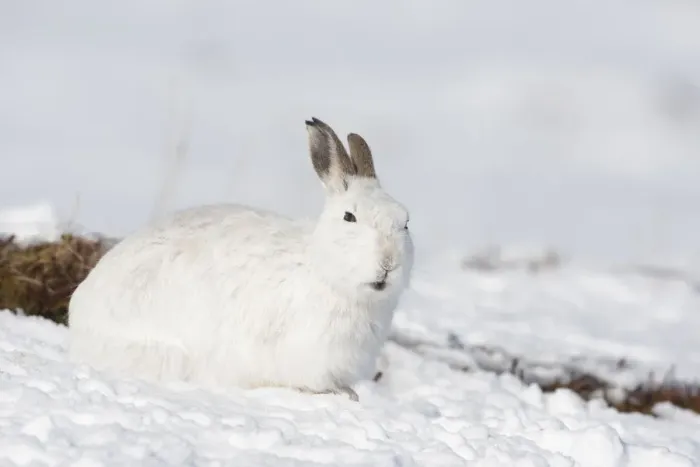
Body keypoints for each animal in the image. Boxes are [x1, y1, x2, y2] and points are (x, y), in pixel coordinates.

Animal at [67, 117, 414, 401]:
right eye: (349, 217)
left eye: (405, 222)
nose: (388, 263)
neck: (323, 272)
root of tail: (78, 317)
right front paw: (343, 394)